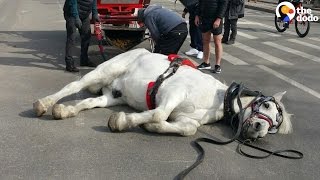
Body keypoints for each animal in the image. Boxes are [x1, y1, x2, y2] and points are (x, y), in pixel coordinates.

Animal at [33, 48, 292, 139]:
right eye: (267, 106)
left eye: (275, 125)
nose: (259, 129)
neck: (215, 98)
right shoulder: (174, 92)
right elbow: (159, 113)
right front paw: (124, 121)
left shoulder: (186, 118)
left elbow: (188, 129)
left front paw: (149, 126)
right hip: (104, 72)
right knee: (74, 87)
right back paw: (44, 103)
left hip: (113, 95)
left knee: (88, 101)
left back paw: (65, 110)